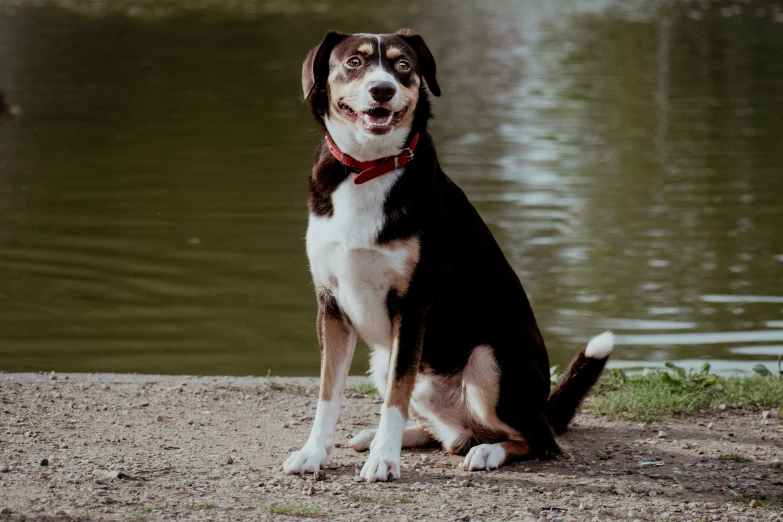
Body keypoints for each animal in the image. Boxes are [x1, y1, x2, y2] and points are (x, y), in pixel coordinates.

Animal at [278, 30, 616, 482]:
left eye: (403, 65)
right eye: (354, 62)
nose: (382, 89)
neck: (368, 169)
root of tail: (542, 405)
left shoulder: (412, 306)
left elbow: (395, 399)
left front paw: (384, 460)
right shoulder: (331, 305)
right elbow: (328, 394)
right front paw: (314, 453)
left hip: (486, 360)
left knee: (536, 440)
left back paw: (488, 452)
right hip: (385, 359)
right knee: (448, 435)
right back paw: (386, 437)